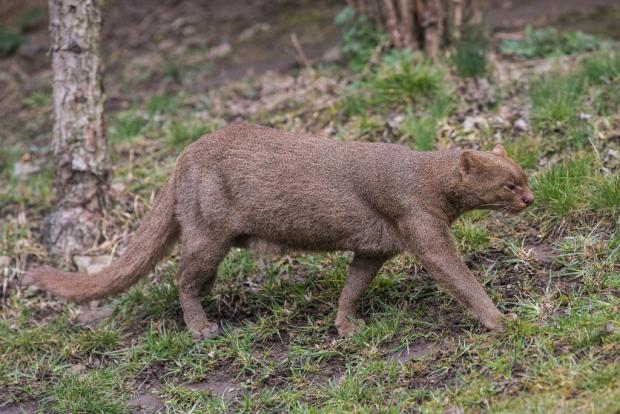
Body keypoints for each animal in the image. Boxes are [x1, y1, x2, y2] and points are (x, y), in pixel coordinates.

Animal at [25, 123, 532, 340]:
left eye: (524, 177)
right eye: (508, 184)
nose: (531, 198)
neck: (422, 175)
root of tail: (183, 156)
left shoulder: (373, 248)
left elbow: (353, 285)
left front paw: (346, 324)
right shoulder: (422, 230)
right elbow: (460, 279)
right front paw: (502, 320)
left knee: (190, 280)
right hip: (207, 234)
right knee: (181, 280)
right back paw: (202, 327)